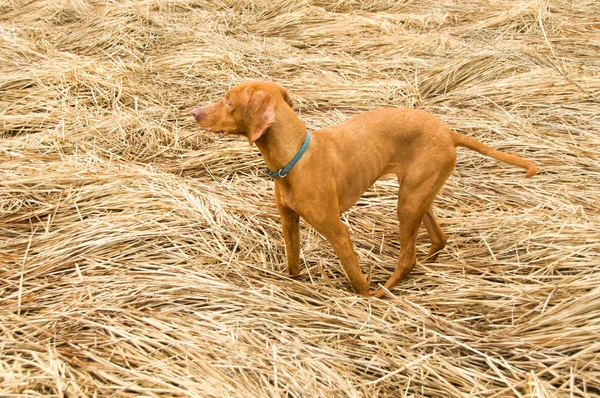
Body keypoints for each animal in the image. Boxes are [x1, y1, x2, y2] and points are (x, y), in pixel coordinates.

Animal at [195, 81, 536, 298]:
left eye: (228, 101)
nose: (196, 113)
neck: (293, 158)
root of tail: (448, 132)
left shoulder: (337, 231)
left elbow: (355, 278)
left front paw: (361, 301)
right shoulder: (288, 221)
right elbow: (293, 263)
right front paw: (292, 285)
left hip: (408, 201)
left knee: (407, 258)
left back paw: (382, 292)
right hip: (418, 194)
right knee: (437, 239)